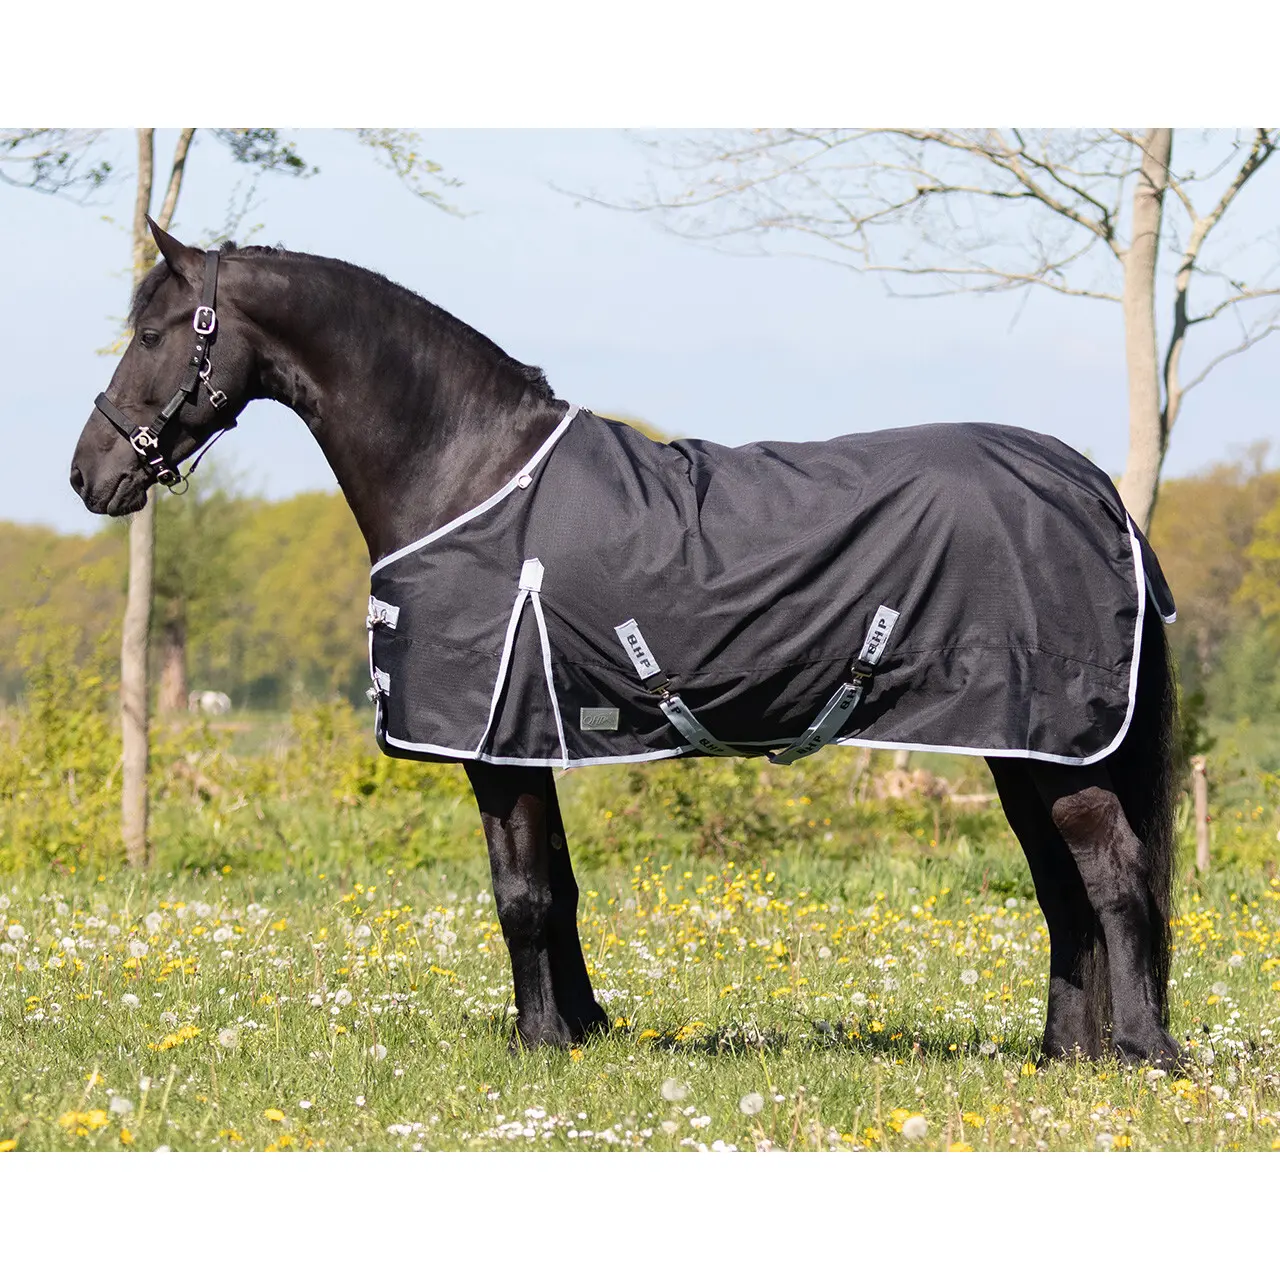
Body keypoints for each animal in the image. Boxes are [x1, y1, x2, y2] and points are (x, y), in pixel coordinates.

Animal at [70, 220, 1184, 1068]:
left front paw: (535, 1044)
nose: (89, 475)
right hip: (1016, 744)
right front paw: (581, 1029)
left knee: (1112, 876)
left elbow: (520, 895)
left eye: (156, 331)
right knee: (1062, 891)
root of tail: (1091, 487)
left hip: (1053, 745)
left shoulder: (494, 745)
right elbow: (557, 887)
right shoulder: (532, 735)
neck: (469, 469)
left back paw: (1138, 1055)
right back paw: (1062, 1055)